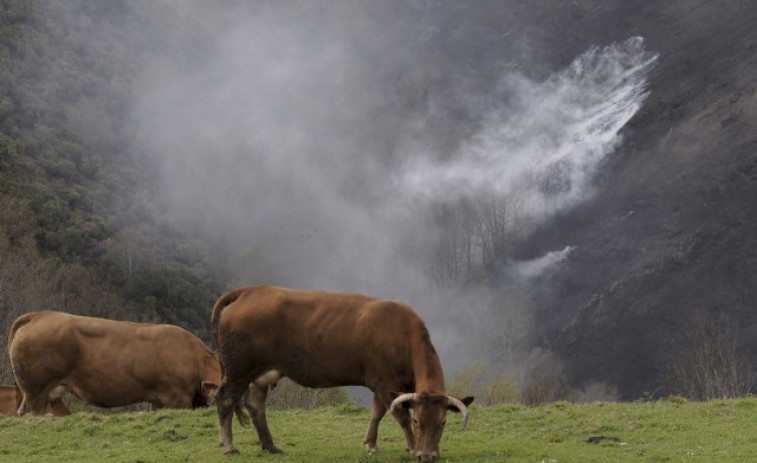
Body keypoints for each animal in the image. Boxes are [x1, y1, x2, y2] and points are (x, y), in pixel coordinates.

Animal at [8, 312, 224, 416]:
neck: (197, 361)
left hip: (34, 392)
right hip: (36, 391)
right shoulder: (178, 399)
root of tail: (39, 315)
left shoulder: (157, 401)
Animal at [213, 284, 472, 462]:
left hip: (261, 374)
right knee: (225, 400)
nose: (428, 456)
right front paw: (412, 446)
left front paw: (371, 444)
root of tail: (251, 290)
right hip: (238, 371)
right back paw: (230, 446)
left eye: (443, 422)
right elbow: (400, 416)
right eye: (419, 420)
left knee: (256, 406)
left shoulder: (381, 385)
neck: (404, 336)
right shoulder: (385, 383)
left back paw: (270, 446)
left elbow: (376, 413)